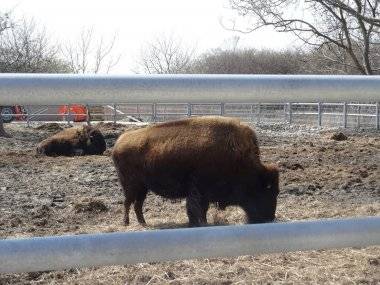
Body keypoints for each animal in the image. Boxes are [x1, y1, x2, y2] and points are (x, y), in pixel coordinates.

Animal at [112, 115, 280, 226]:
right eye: (267, 190)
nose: (269, 218)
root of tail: (119, 142)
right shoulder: (199, 192)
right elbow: (197, 209)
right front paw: (200, 223)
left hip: (143, 188)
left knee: (137, 204)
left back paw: (143, 223)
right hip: (131, 186)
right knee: (128, 202)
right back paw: (126, 223)